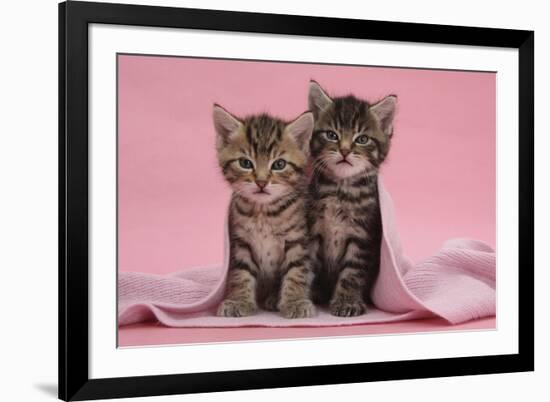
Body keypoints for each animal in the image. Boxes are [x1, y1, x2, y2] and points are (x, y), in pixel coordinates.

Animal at [216, 105, 320, 318]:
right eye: (245, 163)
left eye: (279, 164)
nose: (262, 182)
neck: (263, 212)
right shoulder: (241, 242)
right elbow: (241, 272)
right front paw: (239, 301)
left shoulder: (297, 240)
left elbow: (296, 271)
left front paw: (295, 302)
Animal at [308, 79, 398, 318]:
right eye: (332, 135)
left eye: (362, 139)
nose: (345, 151)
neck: (342, 189)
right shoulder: (312, 230)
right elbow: (308, 263)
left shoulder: (363, 235)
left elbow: (353, 272)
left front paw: (347, 301)